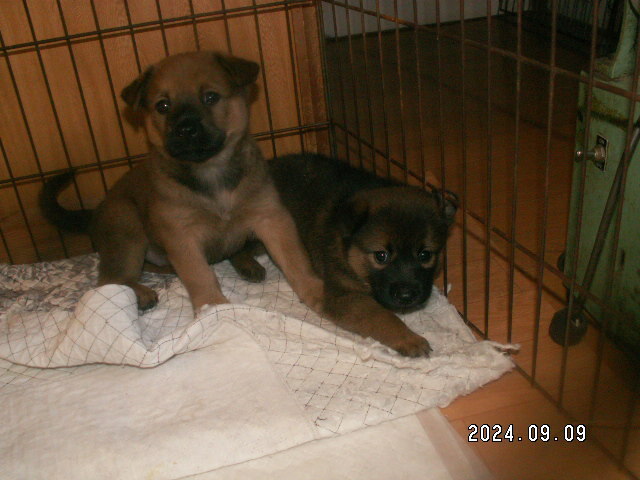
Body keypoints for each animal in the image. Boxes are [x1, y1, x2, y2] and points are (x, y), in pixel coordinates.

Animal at [39, 51, 323, 315]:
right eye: (163, 106)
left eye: (211, 97)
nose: (186, 129)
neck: (211, 174)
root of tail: (95, 212)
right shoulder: (182, 236)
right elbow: (200, 275)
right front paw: (213, 307)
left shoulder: (271, 219)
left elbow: (295, 261)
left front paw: (315, 292)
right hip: (126, 226)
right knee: (111, 281)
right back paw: (140, 293)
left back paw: (245, 263)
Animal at [249, 153, 457, 357]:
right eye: (381, 256)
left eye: (425, 255)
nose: (406, 297)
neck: (348, 248)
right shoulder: (343, 296)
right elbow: (380, 315)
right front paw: (409, 339)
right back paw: (251, 268)